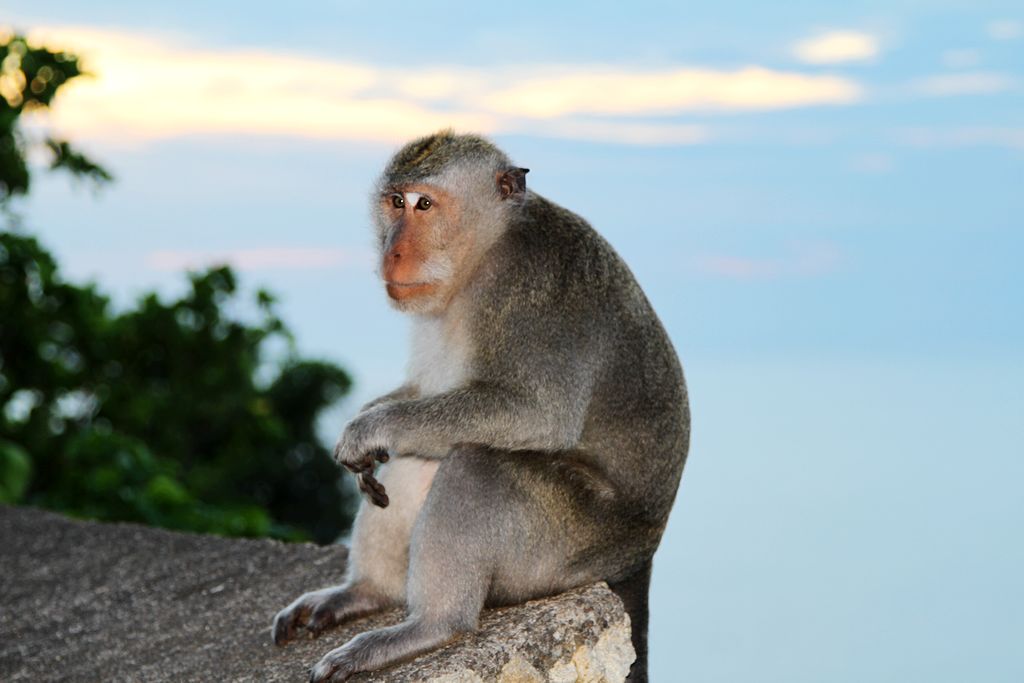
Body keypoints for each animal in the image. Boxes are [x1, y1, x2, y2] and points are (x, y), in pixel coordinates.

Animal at [272, 129, 688, 683]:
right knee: (418, 454)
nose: (392, 253)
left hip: (567, 547)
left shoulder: (533, 286)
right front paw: (363, 427)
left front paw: (371, 427)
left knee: (477, 463)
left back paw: (431, 627)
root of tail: (640, 554)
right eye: (394, 202)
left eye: (424, 204)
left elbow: (538, 412)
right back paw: (366, 594)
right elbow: (424, 389)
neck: (485, 251)